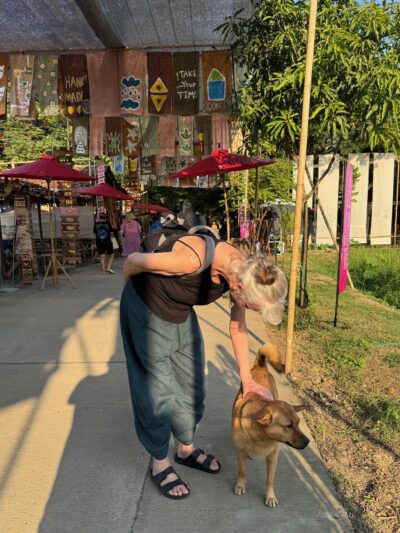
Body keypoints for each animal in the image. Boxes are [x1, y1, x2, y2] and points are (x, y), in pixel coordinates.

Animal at [231, 342, 310, 504]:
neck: (262, 437)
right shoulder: (240, 452)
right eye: (288, 426)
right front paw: (240, 485)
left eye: (298, 423)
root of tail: (261, 367)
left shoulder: (273, 458)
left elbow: (270, 480)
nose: (307, 442)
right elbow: (242, 471)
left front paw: (270, 495)